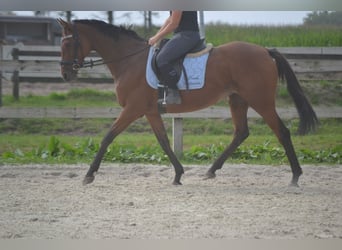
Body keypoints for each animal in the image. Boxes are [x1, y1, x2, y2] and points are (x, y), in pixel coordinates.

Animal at [56, 19, 318, 187]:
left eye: (67, 44)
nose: (66, 75)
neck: (129, 61)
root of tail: (264, 51)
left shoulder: (133, 109)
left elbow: (108, 136)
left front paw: (89, 175)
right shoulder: (150, 111)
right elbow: (163, 140)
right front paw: (178, 174)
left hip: (260, 101)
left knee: (281, 131)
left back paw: (295, 176)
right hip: (238, 100)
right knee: (241, 133)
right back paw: (211, 171)